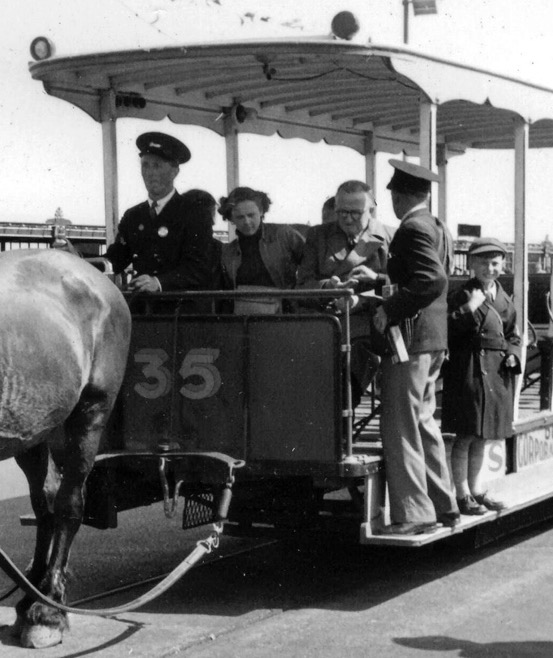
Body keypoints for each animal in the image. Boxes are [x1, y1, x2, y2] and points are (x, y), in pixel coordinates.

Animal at [0, 247, 130, 644]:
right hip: (34, 428)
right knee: (46, 504)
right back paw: (33, 596)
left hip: (90, 412)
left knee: (69, 504)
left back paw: (50, 608)